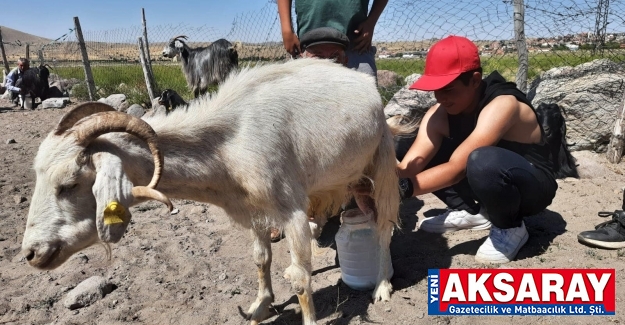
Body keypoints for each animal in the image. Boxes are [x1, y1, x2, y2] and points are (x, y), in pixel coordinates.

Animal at [22, 58, 400, 324]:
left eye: (69, 184)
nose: (31, 253)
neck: (228, 143)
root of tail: (365, 82)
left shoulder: (290, 208)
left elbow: (300, 281)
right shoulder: (253, 208)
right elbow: (261, 259)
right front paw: (260, 306)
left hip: (382, 161)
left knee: (383, 227)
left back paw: (382, 285)